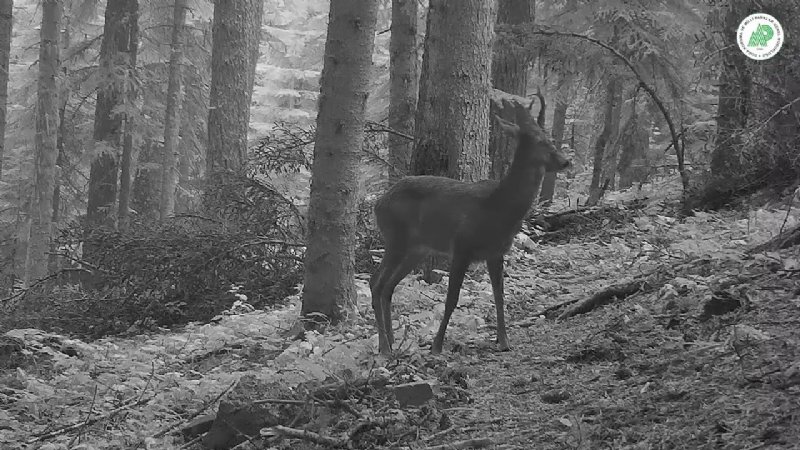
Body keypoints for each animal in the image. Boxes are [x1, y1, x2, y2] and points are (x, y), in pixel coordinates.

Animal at [368, 98, 568, 356]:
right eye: (540, 141)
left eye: (549, 137)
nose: (565, 161)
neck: (498, 208)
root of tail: (378, 203)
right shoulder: (462, 247)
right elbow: (452, 299)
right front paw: (437, 345)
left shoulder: (496, 252)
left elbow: (499, 296)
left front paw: (504, 341)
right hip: (396, 238)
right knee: (376, 283)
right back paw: (384, 347)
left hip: (417, 249)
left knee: (388, 286)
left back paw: (392, 342)